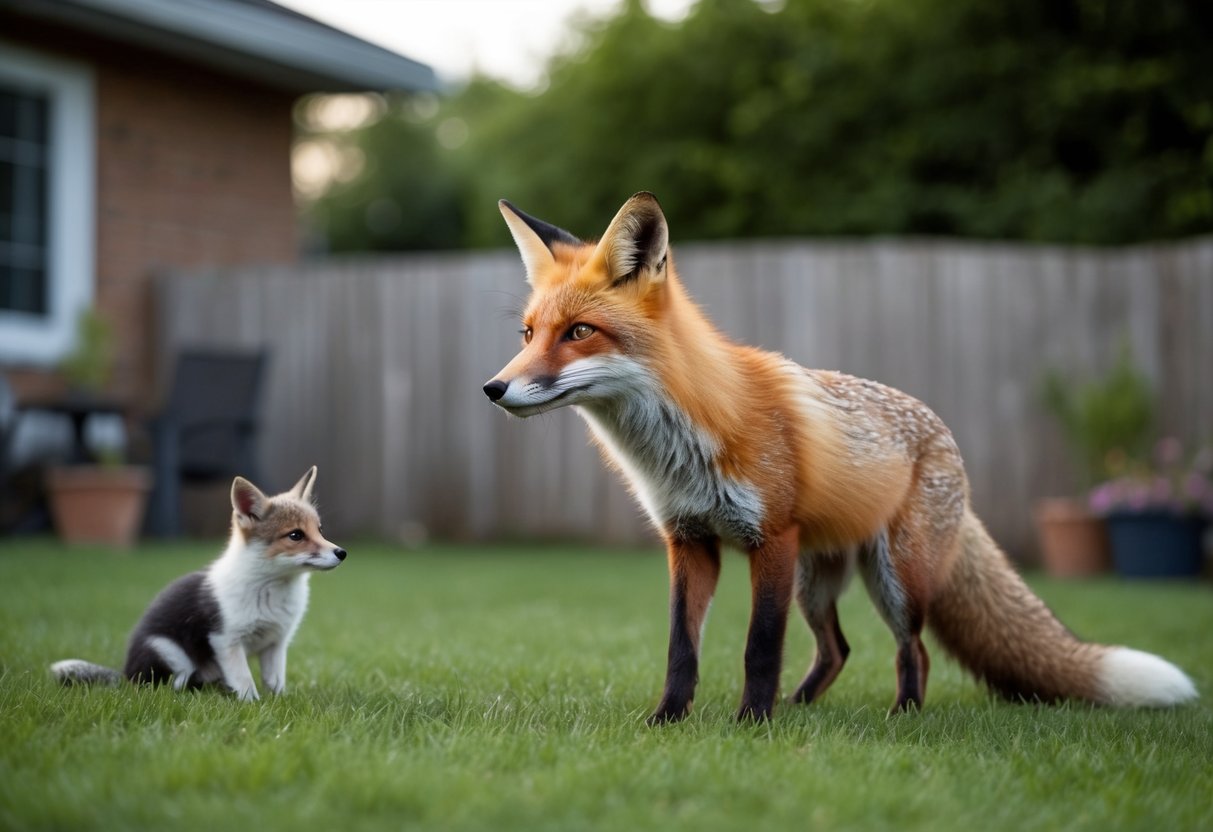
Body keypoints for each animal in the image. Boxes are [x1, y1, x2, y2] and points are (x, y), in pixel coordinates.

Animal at [51, 467, 346, 701]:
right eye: (296, 535)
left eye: (320, 530)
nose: (341, 553)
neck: (269, 589)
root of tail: (126, 675)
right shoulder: (226, 641)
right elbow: (245, 682)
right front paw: (252, 705)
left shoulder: (276, 643)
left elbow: (275, 684)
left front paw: (279, 704)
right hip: (169, 651)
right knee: (170, 683)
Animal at [484, 192, 1197, 723]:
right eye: (528, 334)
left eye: (579, 332)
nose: (494, 388)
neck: (682, 444)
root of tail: (945, 436)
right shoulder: (689, 541)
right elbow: (681, 649)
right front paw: (668, 722)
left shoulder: (770, 537)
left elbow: (759, 648)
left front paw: (751, 726)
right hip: (816, 578)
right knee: (837, 650)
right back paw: (804, 710)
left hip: (893, 577)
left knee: (914, 651)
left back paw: (901, 716)